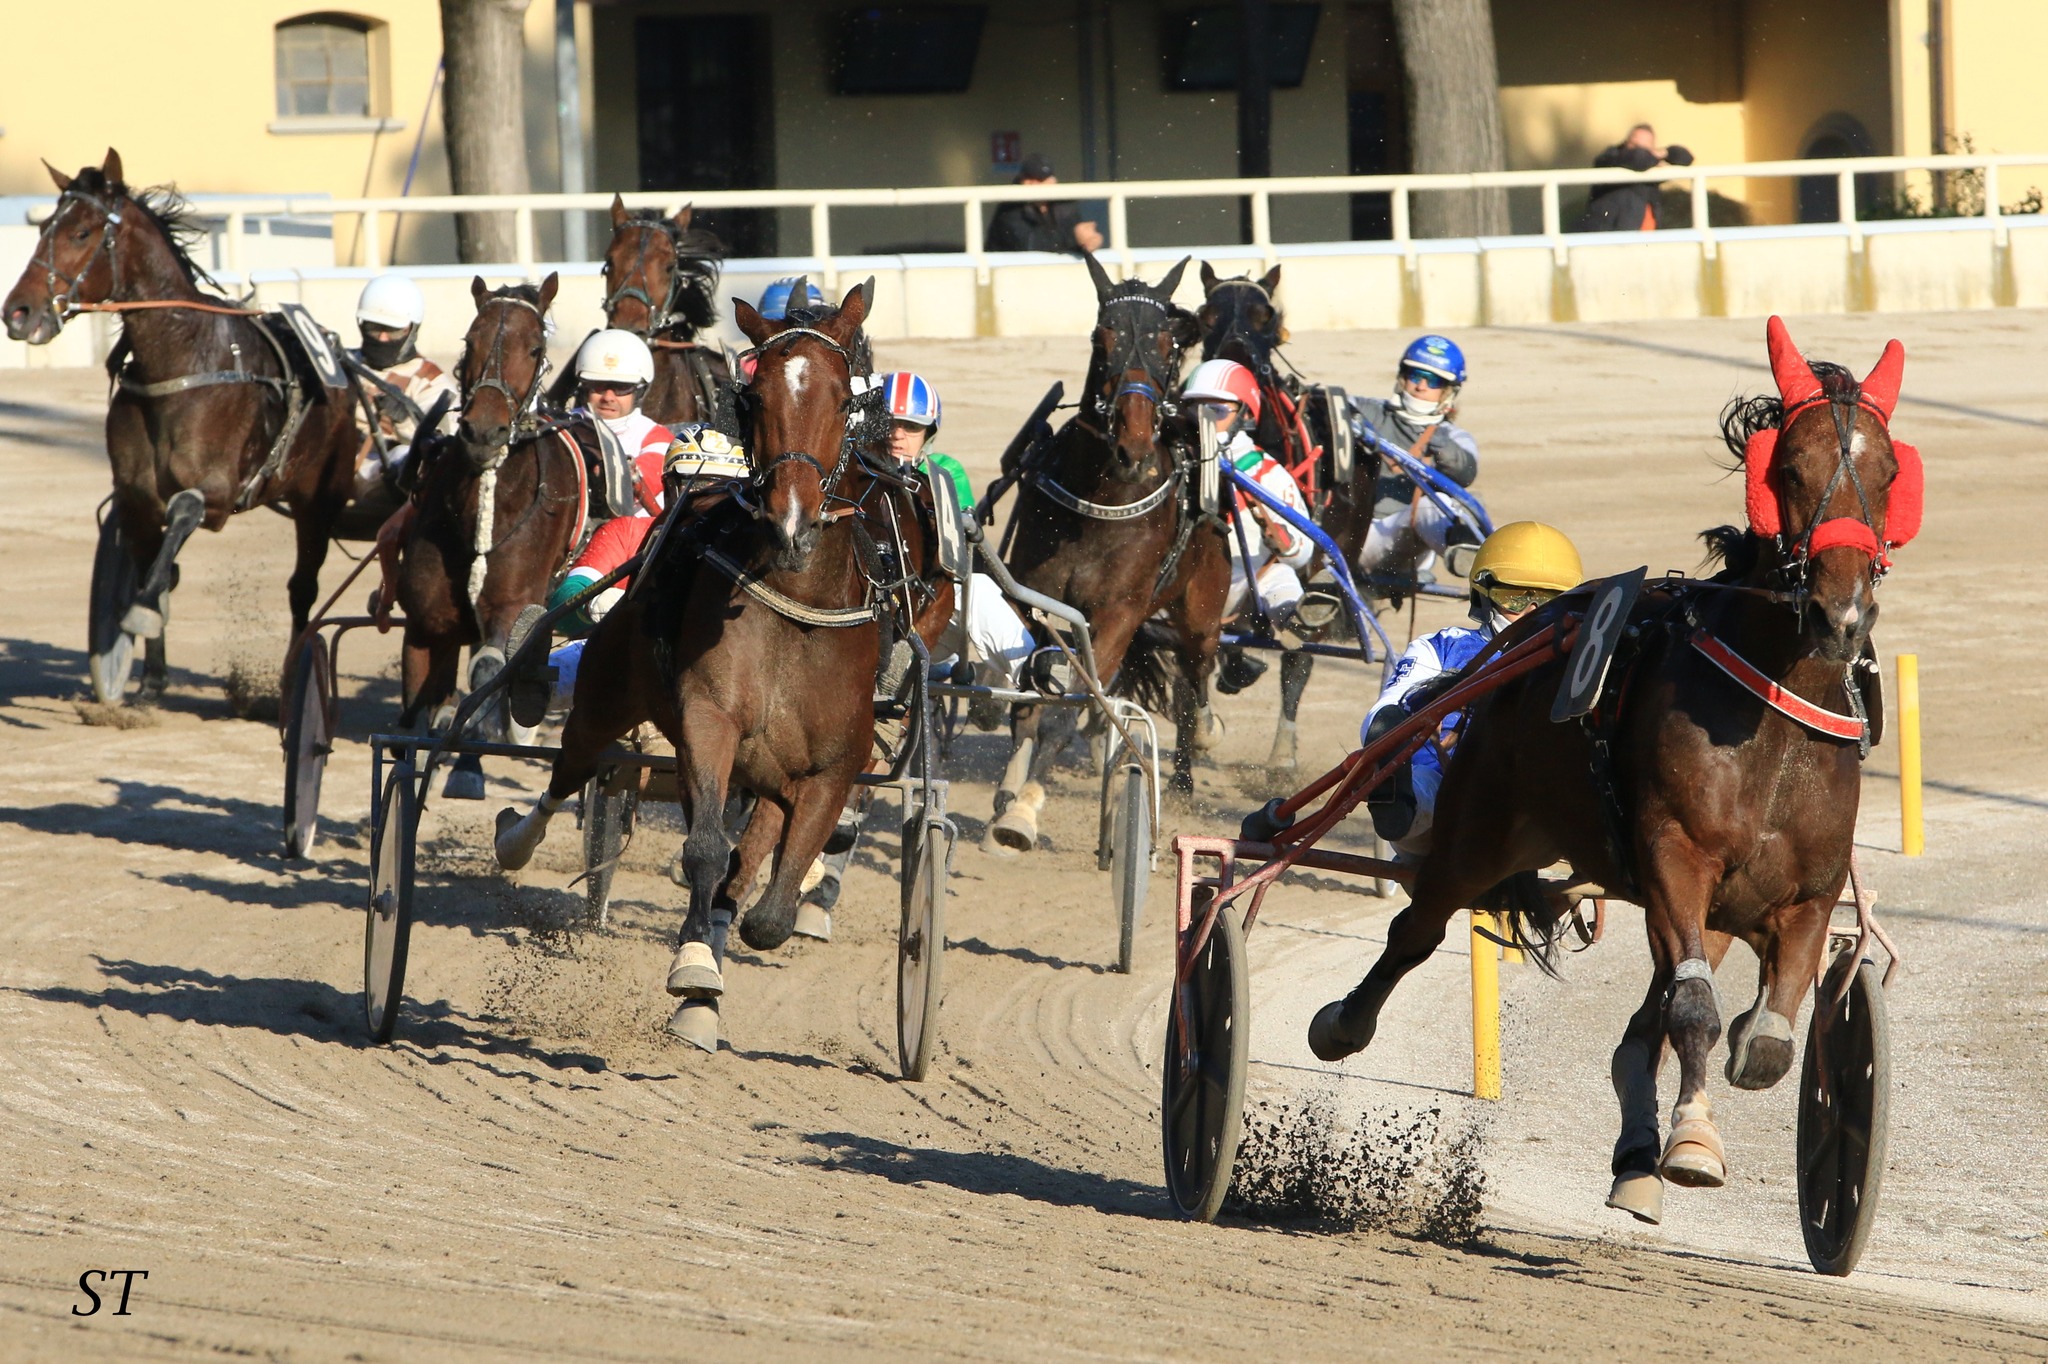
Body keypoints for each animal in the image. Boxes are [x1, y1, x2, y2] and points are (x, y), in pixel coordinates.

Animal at [0, 148, 358, 700]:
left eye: (81, 232)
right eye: (42, 229)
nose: (18, 311)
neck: (182, 360)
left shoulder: (217, 494)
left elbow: (185, 514)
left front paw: (142, 614)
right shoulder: (137, 496)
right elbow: (155, 566)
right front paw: (150, 677)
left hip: (318, 500)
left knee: (303, 588)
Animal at [391, 270, 585, 790]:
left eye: (535, 348)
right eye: (469, 341)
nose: (483, 430)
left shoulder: (511, 604)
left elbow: (488, 671)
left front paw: (469, 762)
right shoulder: (425, 624)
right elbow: (414, 712)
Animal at [495, 274, 950, 1040]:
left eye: (843, 398)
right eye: (755, 395)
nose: (793, 522)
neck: (796, 600)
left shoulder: (834, 764)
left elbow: (770, 906)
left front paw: (725, 948)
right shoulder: (708, 720)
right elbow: (706, 849)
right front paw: (694, 968)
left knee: (753, 849)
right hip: (609, 689)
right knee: (573, 763)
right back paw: (518, 840)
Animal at [995, 254, 1220, 827]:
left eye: (1165, 341)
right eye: (1103, 336)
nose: (1133, 446)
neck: (1103, 500)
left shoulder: (1120, 612)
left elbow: (1076, 703)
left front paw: (1022, 812)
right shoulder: (1029, 593)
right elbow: (1030, 693)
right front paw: (1009, 791)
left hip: (1201, 612)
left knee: (1192, 684)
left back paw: (1185, 774)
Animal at [1310, 315, 1916, 1220]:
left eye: (1887, 473)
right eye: (1789, 467)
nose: (1838, 615)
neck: (1773, 718)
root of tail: (1519, 653)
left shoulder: (1803, 895)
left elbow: (1764, 1044)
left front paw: (1705, 1110)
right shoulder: (1674, 855)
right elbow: (1694, 1011)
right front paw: (1694, 1143)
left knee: (1645, 1024)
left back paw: (1637, 1153)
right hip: (1481, 828)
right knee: (1418, 925)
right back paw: (1344, 1022)